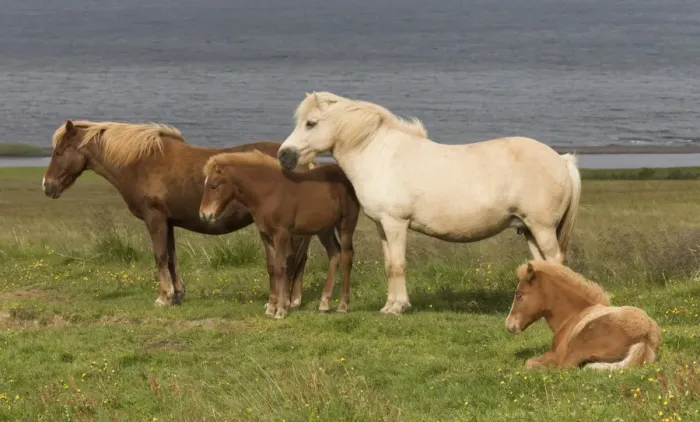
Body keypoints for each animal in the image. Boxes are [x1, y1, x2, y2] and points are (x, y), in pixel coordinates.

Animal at [42, 120, 313, 307]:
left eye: (59, 152)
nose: (47, 186)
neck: (141, 162)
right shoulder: (168, 221)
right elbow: (172, 257)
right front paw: (178, 294)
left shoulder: (155, 218)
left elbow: (160, 256)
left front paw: (164, 297)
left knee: (292, 260)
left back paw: (287, 301)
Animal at [199, 150, 360, 319]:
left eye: (214, 186)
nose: (204, 215)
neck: (269, 192)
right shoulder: (265, 235)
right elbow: (271, 267)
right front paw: (270, 308)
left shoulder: (281, 234)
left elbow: (281, 267)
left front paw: (280, 310)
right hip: (324, 229)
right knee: (334, 254)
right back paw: (324, 303)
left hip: (346, 224)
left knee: (346, 257)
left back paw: (343, 305)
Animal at [276, 91, 582, 315]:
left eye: (311, 123)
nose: (284, 156)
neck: (380, 156)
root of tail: (562, 160)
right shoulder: (382, 227)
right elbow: (389, 264)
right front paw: (389, 305)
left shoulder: (396, 224)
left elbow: (398, 264)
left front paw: (397, 307)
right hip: (529, 229)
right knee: (544, 264)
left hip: (542, 228)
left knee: (556, 261)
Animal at [505, 261, 661, 370]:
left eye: (519, 295)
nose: (508, 324)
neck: (572, 316)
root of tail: (645, 336)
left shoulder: (556, 354)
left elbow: (529, 362)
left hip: (579, 345)